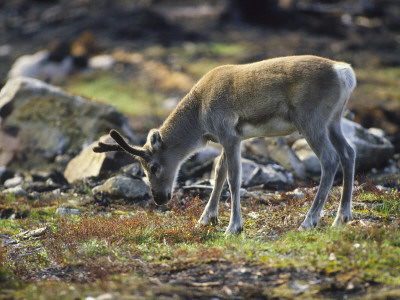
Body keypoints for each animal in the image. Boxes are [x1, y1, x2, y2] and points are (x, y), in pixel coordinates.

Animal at [94, 55, 356, 234]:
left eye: (153, 167)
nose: (159, 198)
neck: (199, 116)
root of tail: (344, 72)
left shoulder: (228, 135)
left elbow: (233, 177)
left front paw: (233, 227)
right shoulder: (230, 138)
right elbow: (218, 172)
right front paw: (205, 218)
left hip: (311, 122)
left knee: (330, 160)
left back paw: (309, 221)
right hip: (333, 121)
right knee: (349, 153)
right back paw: (342, 217)